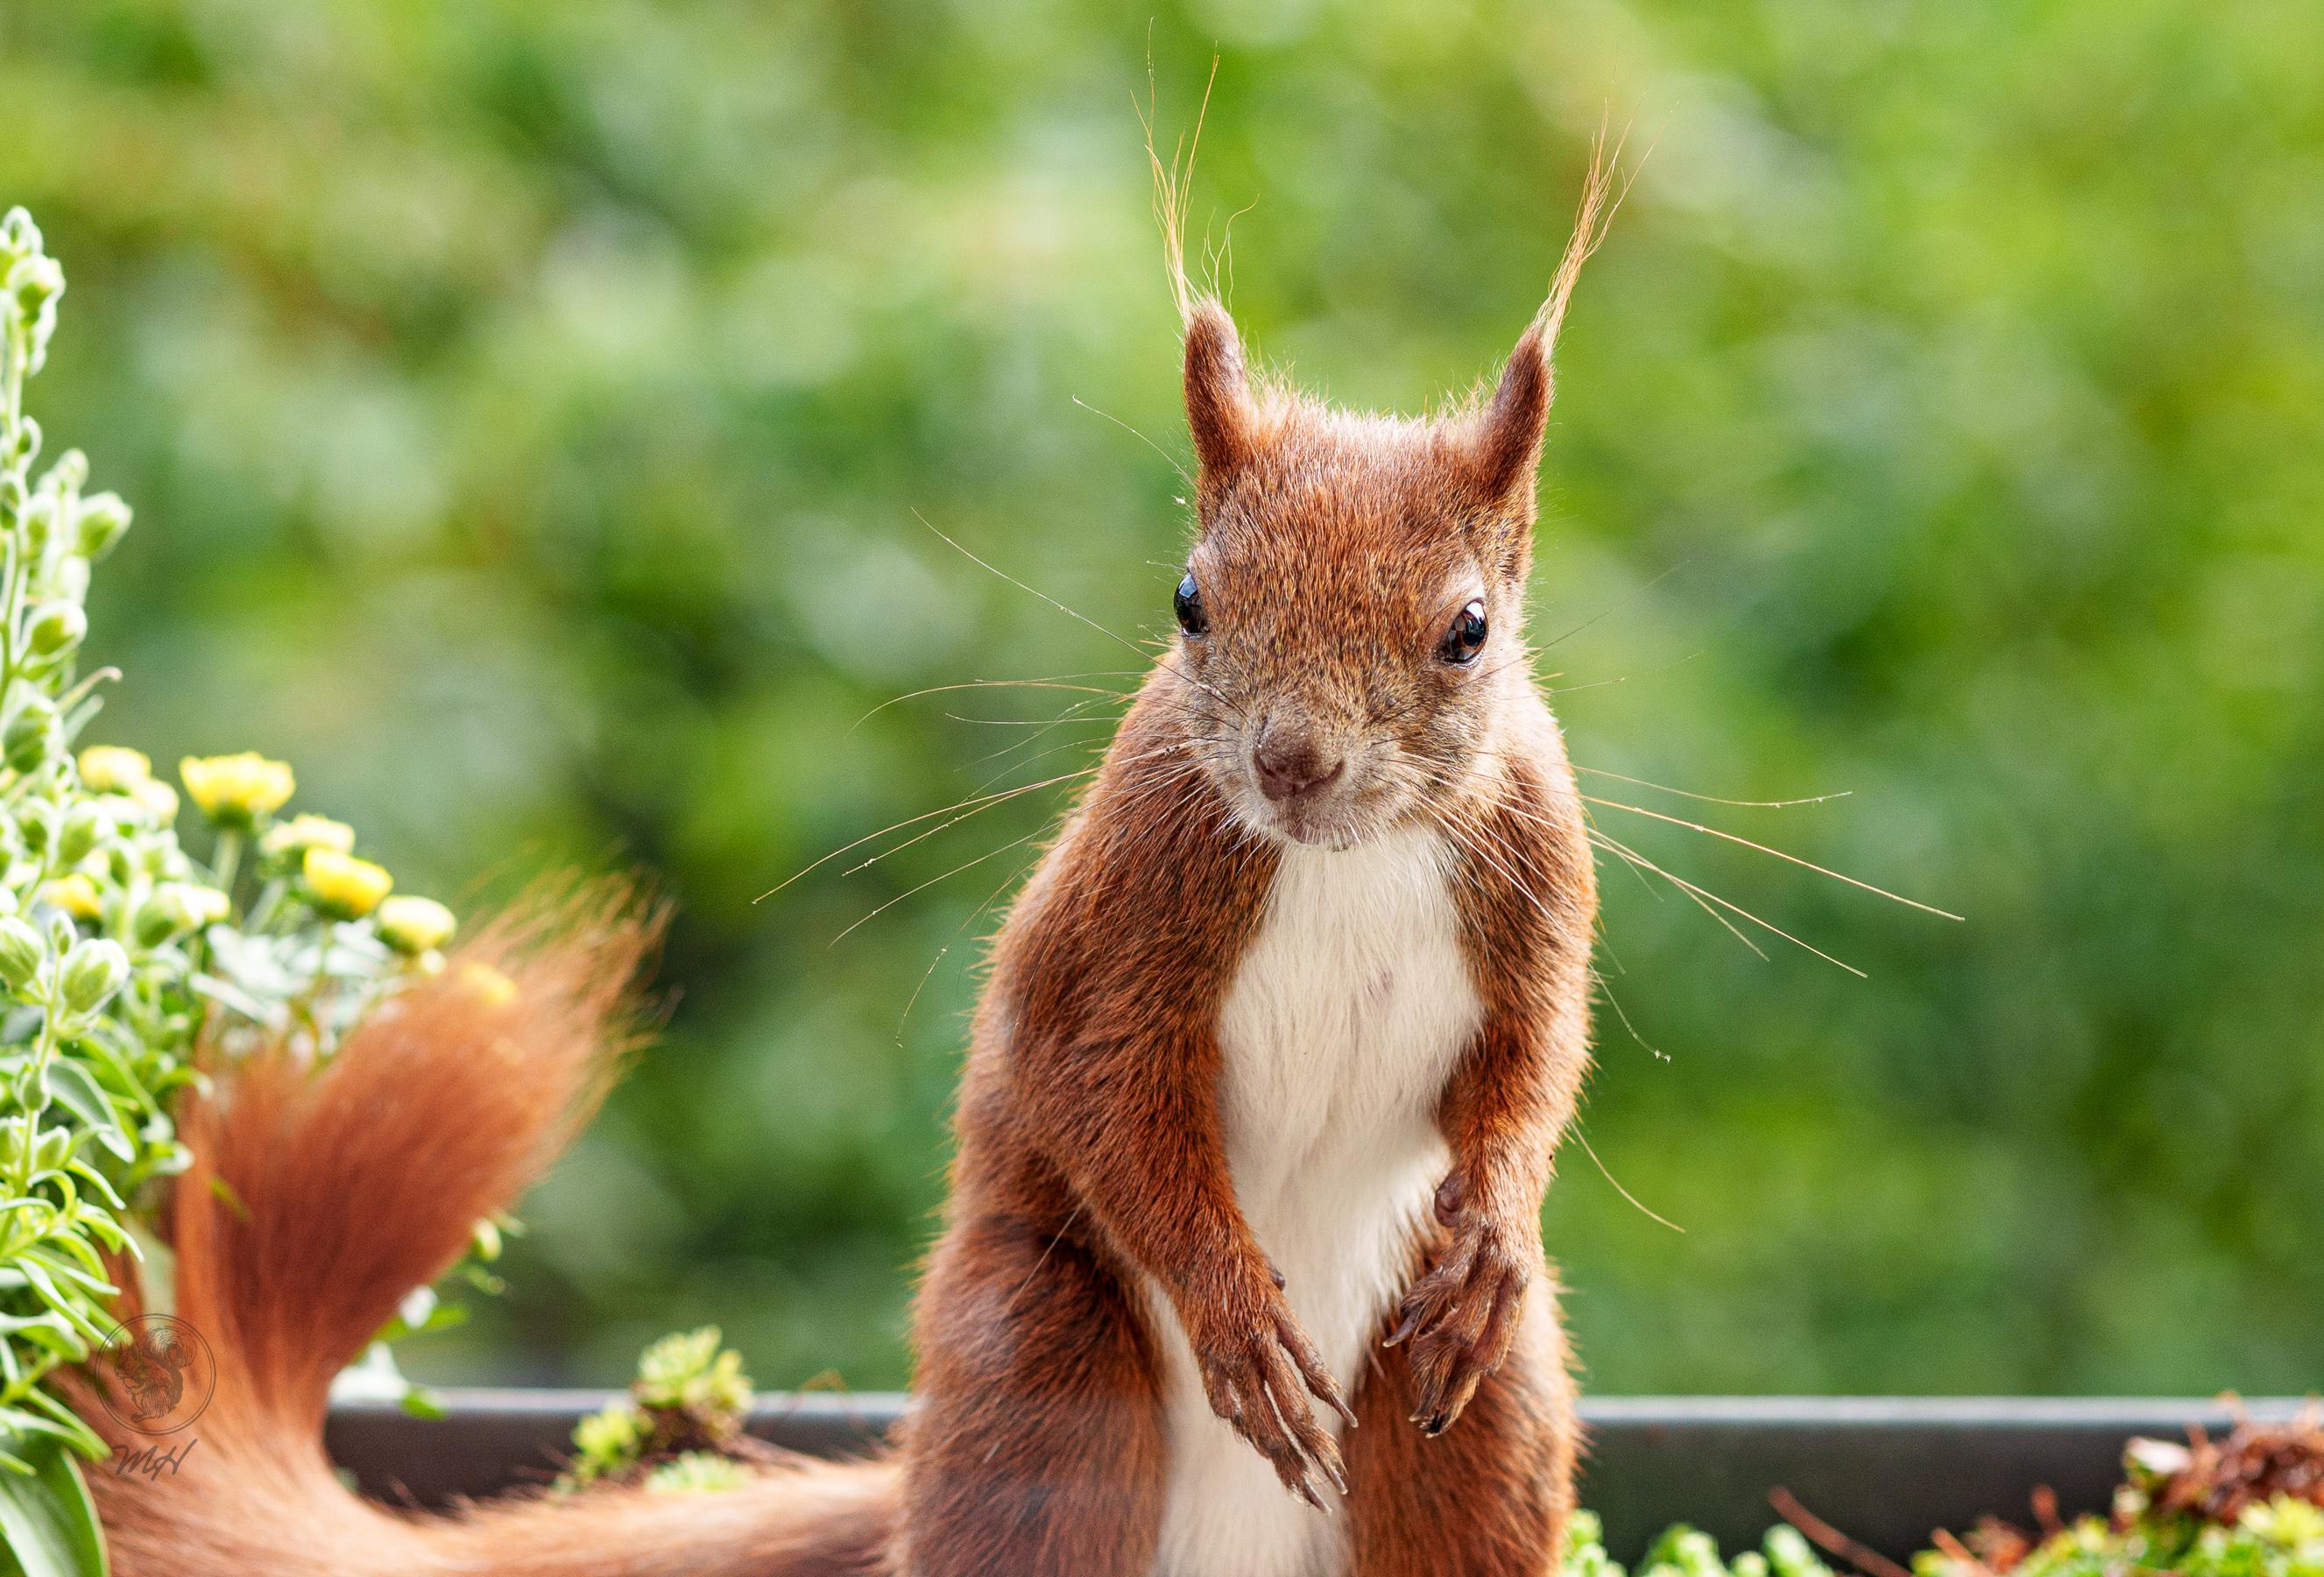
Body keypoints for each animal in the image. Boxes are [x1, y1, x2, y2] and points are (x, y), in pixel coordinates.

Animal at [73, 148, 1616, 1577]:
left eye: (1468, 631)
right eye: (1189, 600)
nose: (1292, 764)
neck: (1346, 861)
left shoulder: (1538, 885)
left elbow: (1535, 1062)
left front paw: (1493, 1225)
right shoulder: (1125, 909)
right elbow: (1099, 1086)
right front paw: (1237, 1316)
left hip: (1474, 1427)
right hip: (1038, 1370)